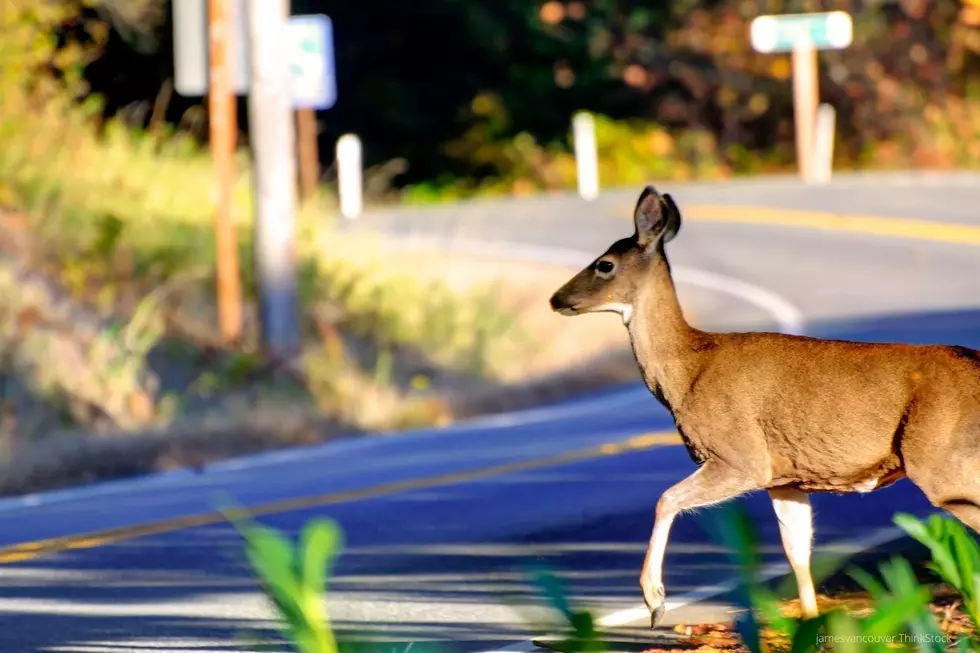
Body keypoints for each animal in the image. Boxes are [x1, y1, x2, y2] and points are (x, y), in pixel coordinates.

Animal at [549, 184, 980, 629]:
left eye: (605, 264)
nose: (556, 298)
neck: (689, 370)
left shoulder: (740, 455)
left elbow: (666, 498)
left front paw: (655, 601)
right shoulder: (786, 477)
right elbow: (797, 552)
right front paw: (811, 622)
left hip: (942, 461)